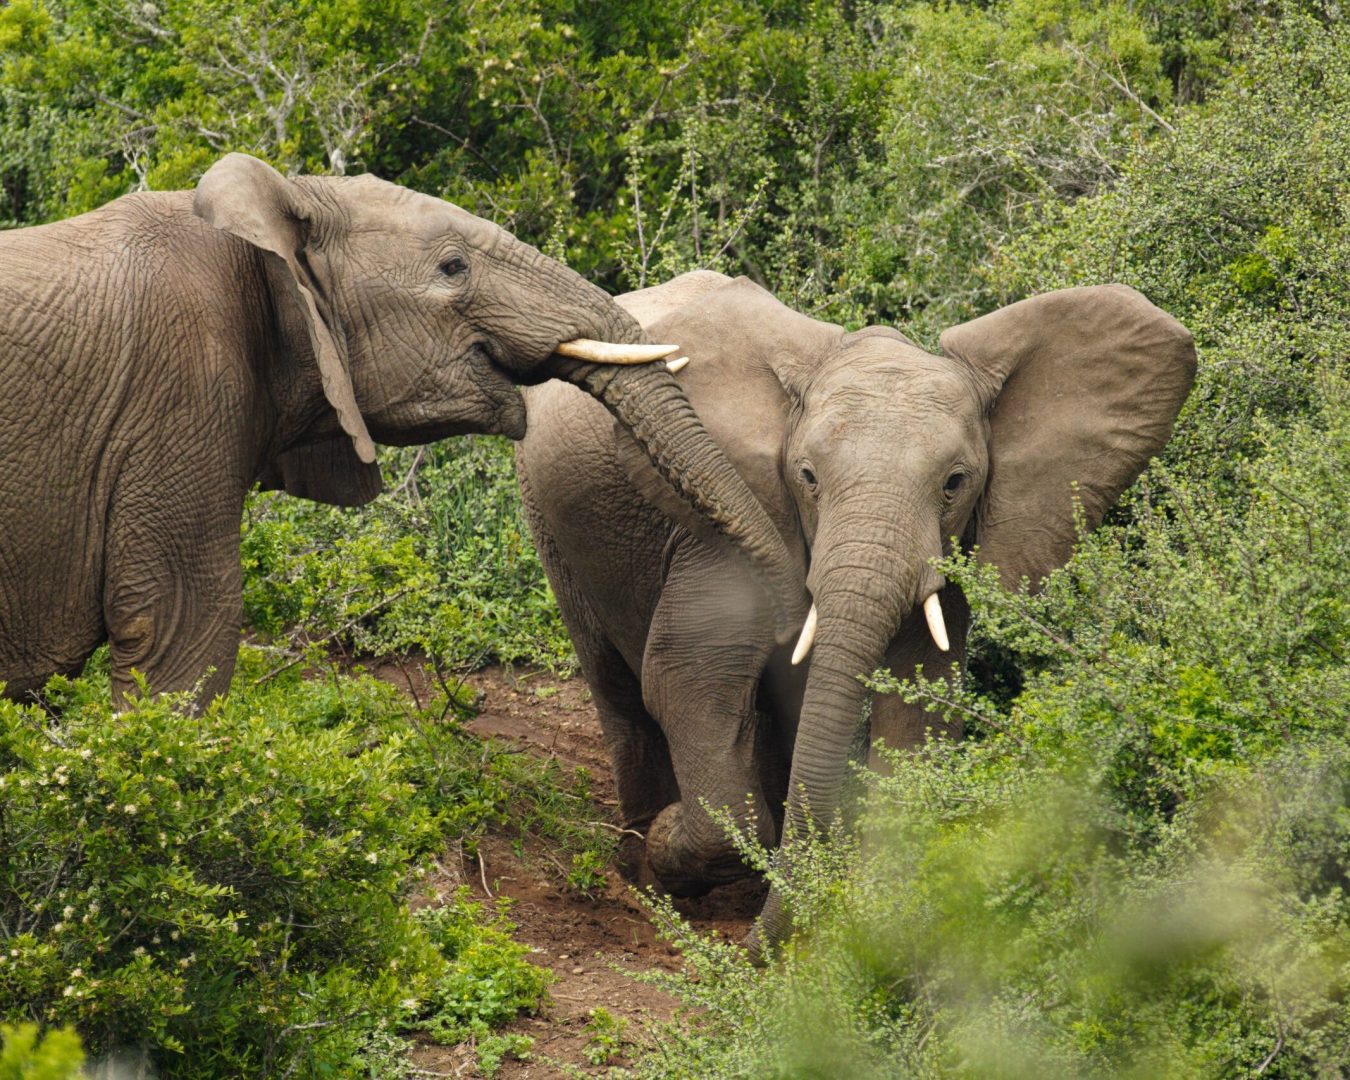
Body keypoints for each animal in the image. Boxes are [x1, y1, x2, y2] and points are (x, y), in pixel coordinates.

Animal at [515, 270, 1193, 955]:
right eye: (807, 477)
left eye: (955, 483)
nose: (755, 950)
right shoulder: (727, 516)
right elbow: (687, 675)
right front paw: (683, 845)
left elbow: (922, 699)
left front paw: (879, 913)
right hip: (552, 523)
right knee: (617, 685)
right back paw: (643, 867)